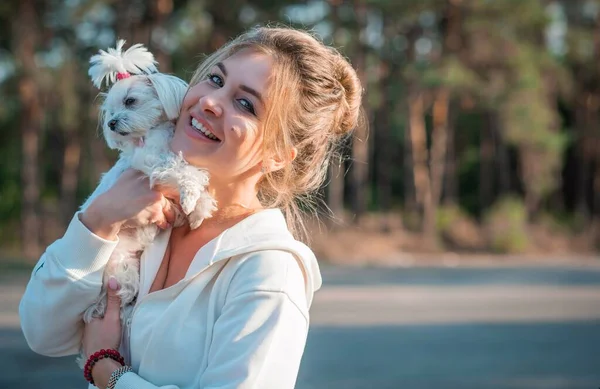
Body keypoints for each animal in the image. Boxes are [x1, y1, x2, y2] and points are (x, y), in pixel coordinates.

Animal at [77, 41, 217, 364]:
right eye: (110, 110)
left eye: (130, 101)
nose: (112, 123)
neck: (152, 135)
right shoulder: (154, 165)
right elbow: (183, 170)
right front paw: (193, 199)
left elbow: (193, 176)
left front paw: (199, 208)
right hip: (120, 271)